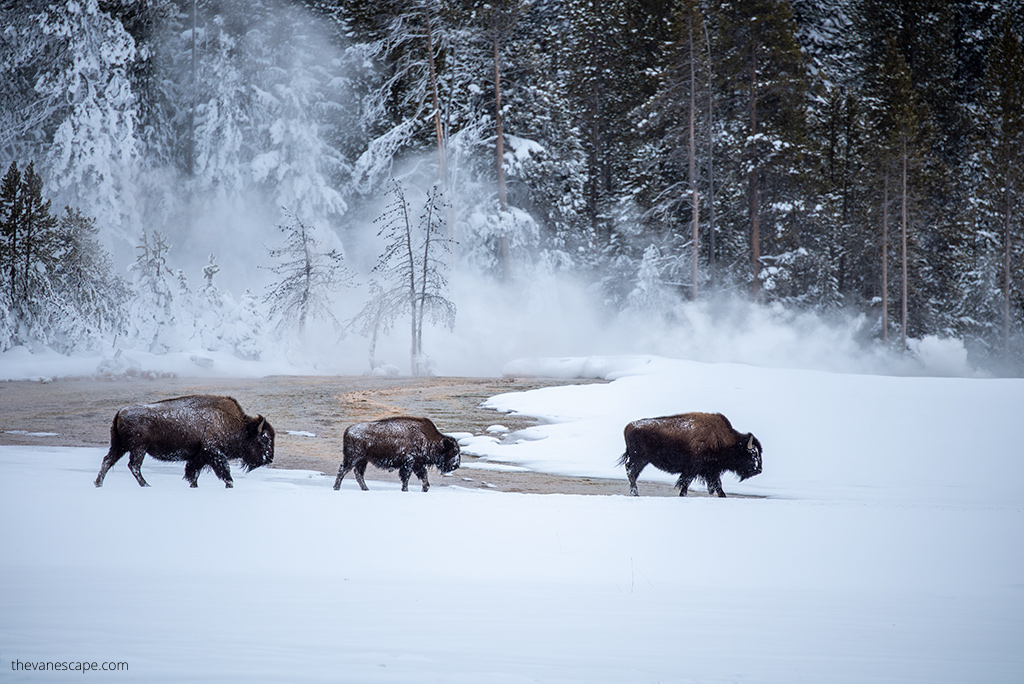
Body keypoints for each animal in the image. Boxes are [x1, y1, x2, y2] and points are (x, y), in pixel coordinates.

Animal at [92, 393, 274, 489]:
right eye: (264, 439)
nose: (270, 458)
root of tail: (120, 412)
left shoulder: (199, 457)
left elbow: (193, 473)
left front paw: (194, 486)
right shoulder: (213, 453)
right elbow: (225, 472)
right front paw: (230, 486)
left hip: (120, 447)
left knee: (108, 461)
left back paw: (98, 484)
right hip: (138, 449)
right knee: (134, 466)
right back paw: (146, 485)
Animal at [331, 417, 460, 491]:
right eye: (454, 451)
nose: (456, 465)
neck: (427, 437)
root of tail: (348, 430)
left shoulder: (417, 464)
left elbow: (423, 475)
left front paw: (425, 488)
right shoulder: (410, 462)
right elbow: (406, 477)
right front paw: (405, 490)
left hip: (362, 460)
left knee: (358, 473)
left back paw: (365, 489)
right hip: (353, 458)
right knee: (343, 470)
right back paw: (337, 488)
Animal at [614, 411, 761, 497]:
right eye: (752, 454)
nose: (759, 469)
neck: (722, 438)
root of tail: (629, 426)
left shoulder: (711, 471)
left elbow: (717, 486)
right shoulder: (693, 469)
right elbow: (686, 483)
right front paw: (682, 495)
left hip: (641, 460)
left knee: (632, 473)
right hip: (640, 459)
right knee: (631, 472)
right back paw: (635, 493)